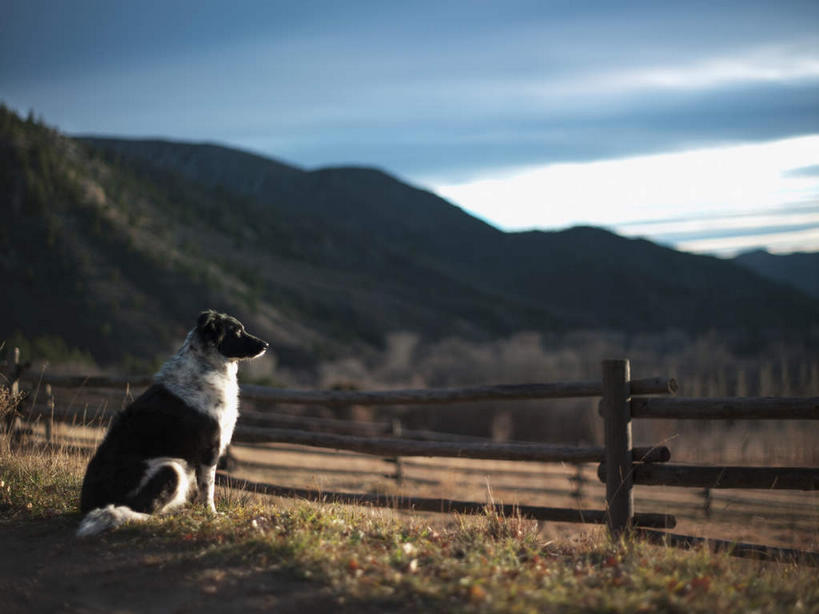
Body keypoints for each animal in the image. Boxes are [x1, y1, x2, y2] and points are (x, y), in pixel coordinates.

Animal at [75, 310, 268, 536]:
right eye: (236, 331)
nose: (266, 345)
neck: (207, 364)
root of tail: (88, 506)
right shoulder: (209, 450)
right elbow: (208, 489)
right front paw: (211, 515)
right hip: (171, 468)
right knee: (141, 509)